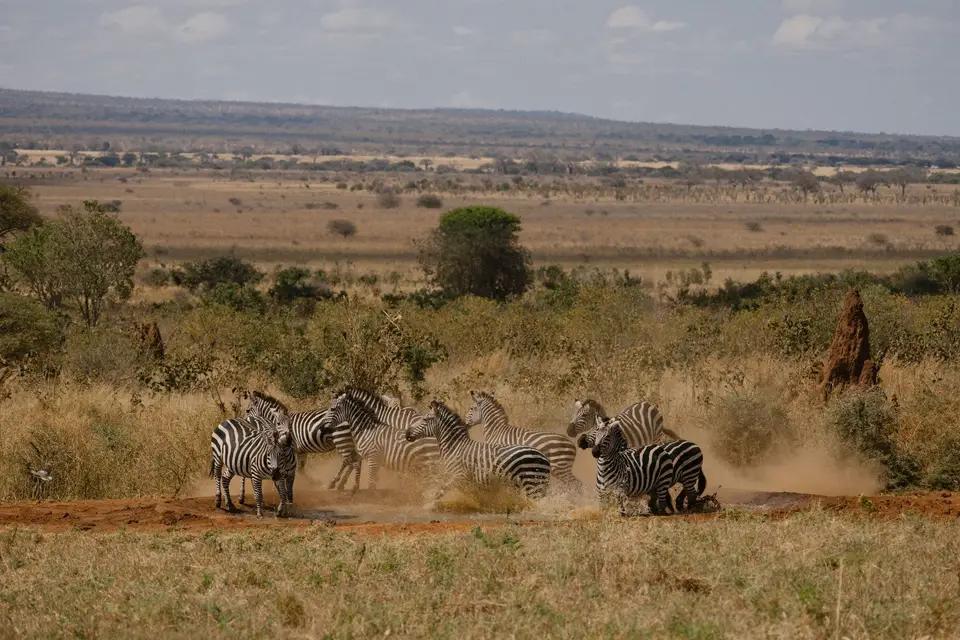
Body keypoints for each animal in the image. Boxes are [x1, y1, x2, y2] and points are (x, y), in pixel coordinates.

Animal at [405, 399, 551, 501]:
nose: (406, 433)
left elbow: (441, 491)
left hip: (533, 484)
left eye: (425, 419)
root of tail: (544, 457)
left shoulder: (459, 477)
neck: (455, 447)